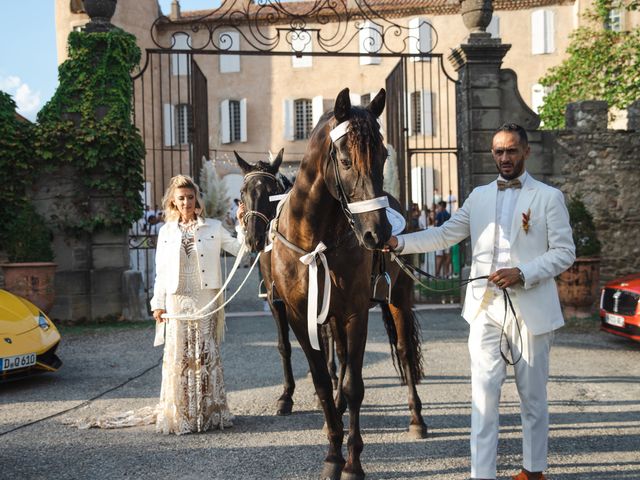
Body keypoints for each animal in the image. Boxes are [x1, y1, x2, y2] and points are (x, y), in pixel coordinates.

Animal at [235, 88, 424, 478]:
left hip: (397, 298)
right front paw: (332, 451)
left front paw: (352, 461)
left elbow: (354, 384)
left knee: (403, 352)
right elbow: (320, 377)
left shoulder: (355, 313)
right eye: (345, 159)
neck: (316, 238)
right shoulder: (295, 312)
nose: (378, 233)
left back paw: (416, 418)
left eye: (383, 155)